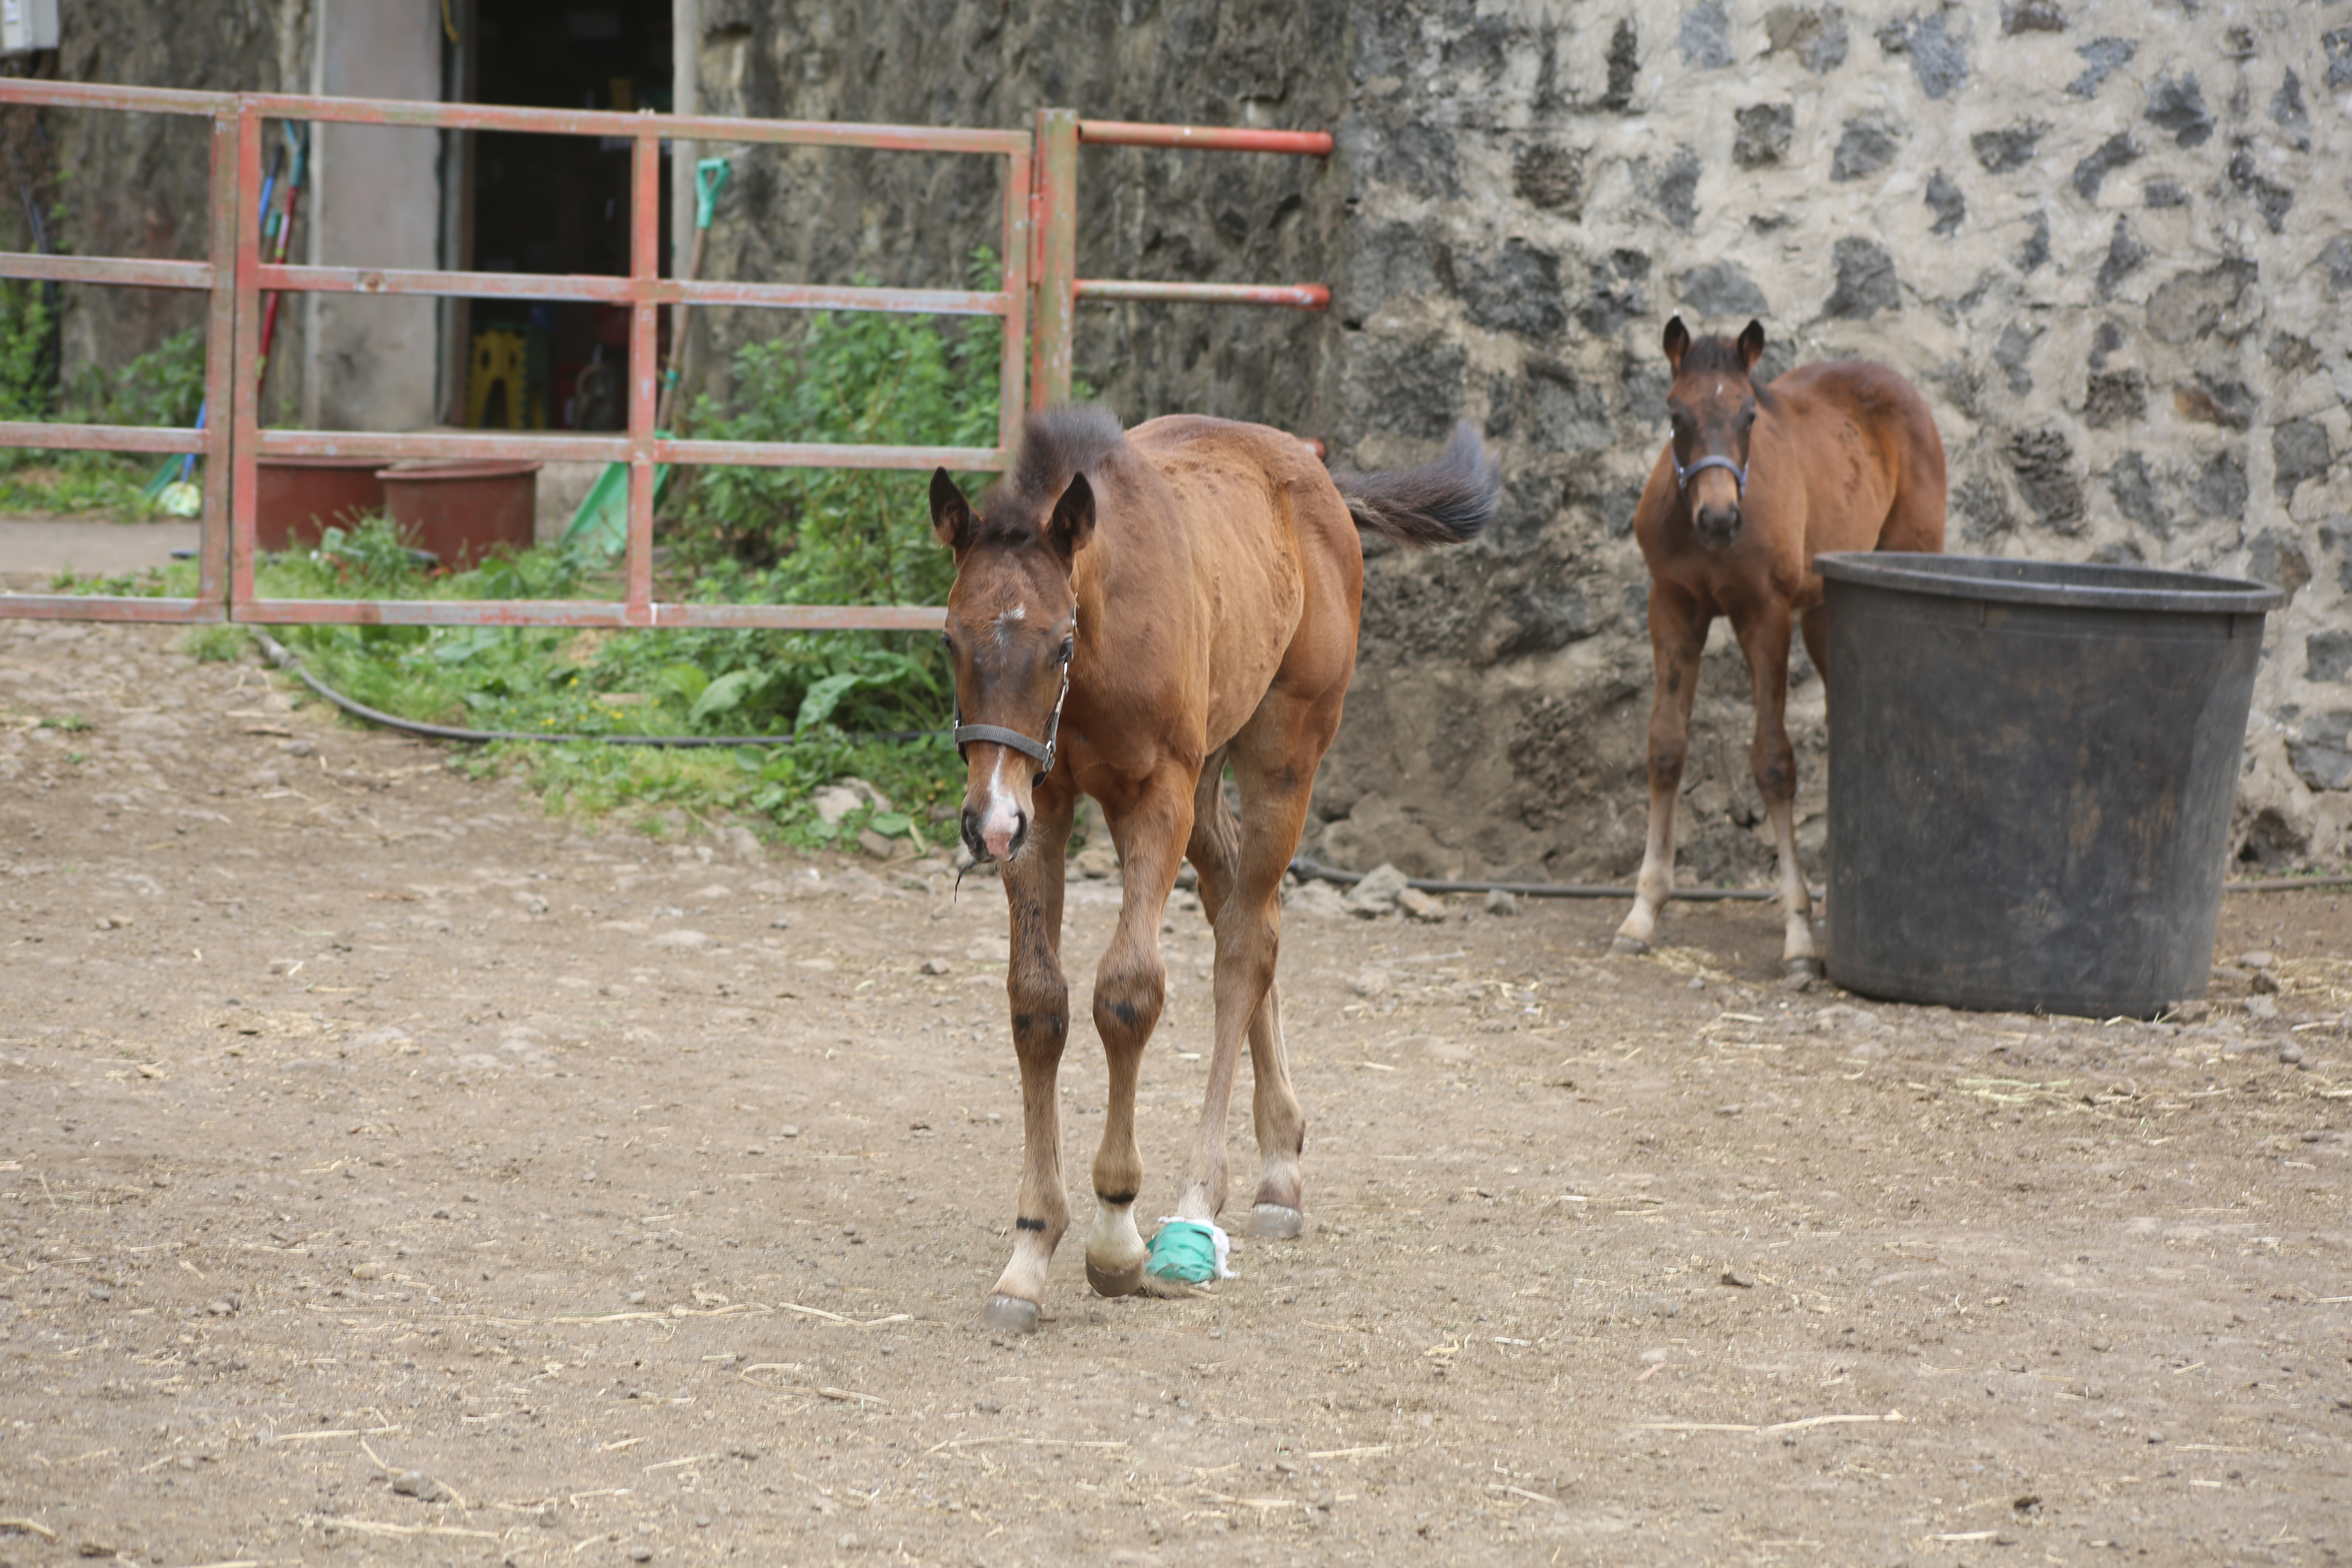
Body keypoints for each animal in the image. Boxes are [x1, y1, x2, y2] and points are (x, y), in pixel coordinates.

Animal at [931, 409, 1496, 1335]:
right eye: (950, 638)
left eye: (1060, 642)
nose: (987, 827)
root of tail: (1319, 476)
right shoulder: (1045, 804)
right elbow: (1038, 1004)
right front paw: (1030, 1251)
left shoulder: (1152, 795)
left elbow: (1127, 993)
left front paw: (1116, 1237)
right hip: (1205, 779)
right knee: (1242, 909)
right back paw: (1279, 1155)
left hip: (1281, 753)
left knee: (1245, 942)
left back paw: (1207, 1201)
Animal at [1618, 317, 1947, 973]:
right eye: (1675, 414)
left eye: (1750, 416)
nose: (1720, 519)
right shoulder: (1673, 607)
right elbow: (1666, 746)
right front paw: (1643, 910)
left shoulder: (1763, 614)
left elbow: (1773, 762)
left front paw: (1798, 932)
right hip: (1826, 611)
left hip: (1911, 559)